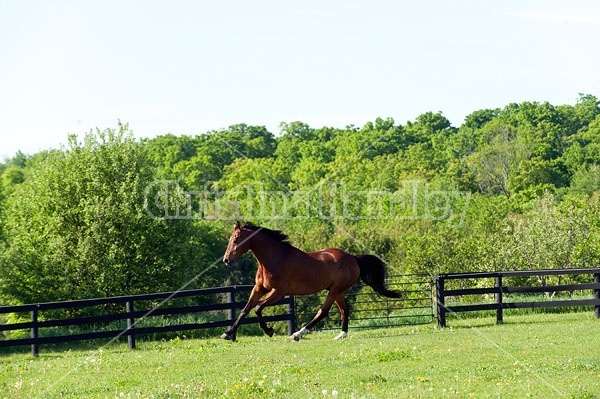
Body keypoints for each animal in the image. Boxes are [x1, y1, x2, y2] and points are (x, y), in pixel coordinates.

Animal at [221, 220, 404, 342]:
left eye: (236, 238)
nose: (226, 260)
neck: (274, 259)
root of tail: (353, 258)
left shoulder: (279, 292)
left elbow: (258, 308)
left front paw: (269, 331)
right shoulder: (259, 288)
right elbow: (245, 309)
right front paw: (228, 333)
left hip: (335, 290)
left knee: (323, 311)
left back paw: (297, 334)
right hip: (336, 291)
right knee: (344, 309)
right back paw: (341, 335)